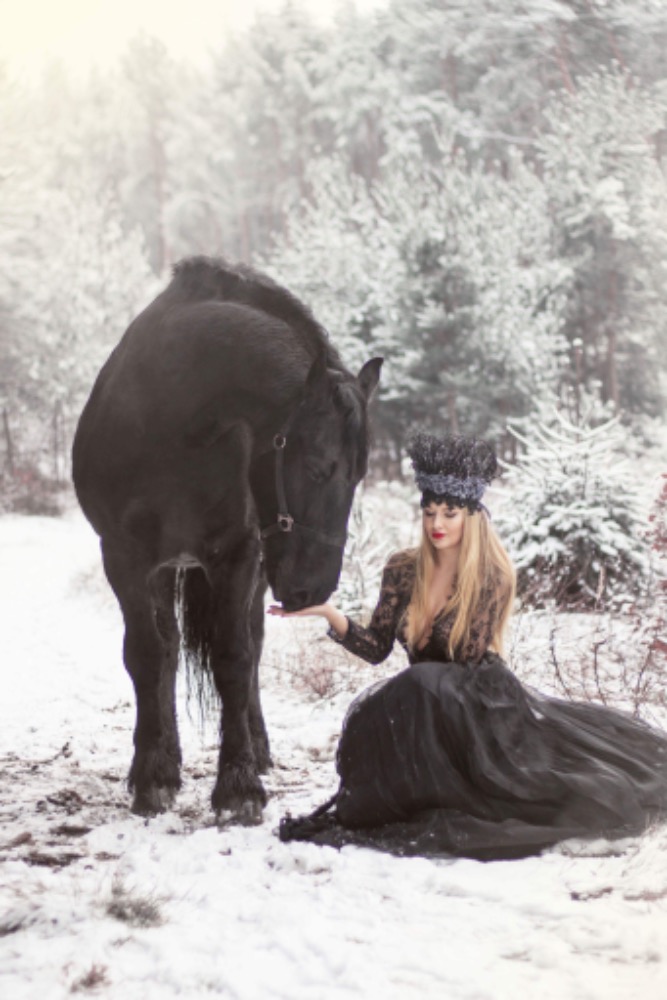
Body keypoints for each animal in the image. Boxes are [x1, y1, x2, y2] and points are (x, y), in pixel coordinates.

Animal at [72, 256, 382, 823]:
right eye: (318, 466)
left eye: (360, 475)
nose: (315, 590)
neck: (172, 417)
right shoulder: (124, 559)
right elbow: (146, 655)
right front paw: (152, 775)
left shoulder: (237, 555)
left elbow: (235, 658)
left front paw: (238, 783)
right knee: (169, 650)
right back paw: (165, 757)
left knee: (251, 646)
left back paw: (256, 749)